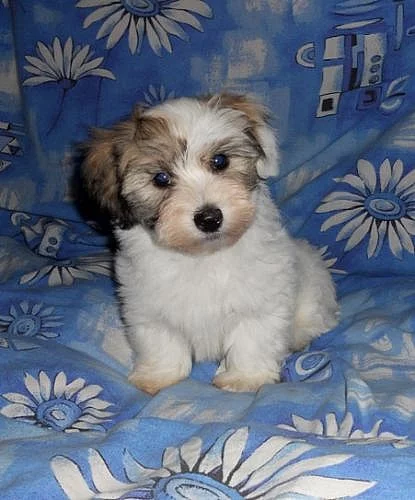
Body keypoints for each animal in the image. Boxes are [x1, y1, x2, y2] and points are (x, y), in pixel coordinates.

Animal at [83, 94, 340, 394]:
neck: (202, 256)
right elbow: (161, 340)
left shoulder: (261, 300)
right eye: (161, 178)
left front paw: (245, 378)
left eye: (220, 161)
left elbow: (253, 337)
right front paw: (159, 375)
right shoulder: (148, 306)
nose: (209, 218)